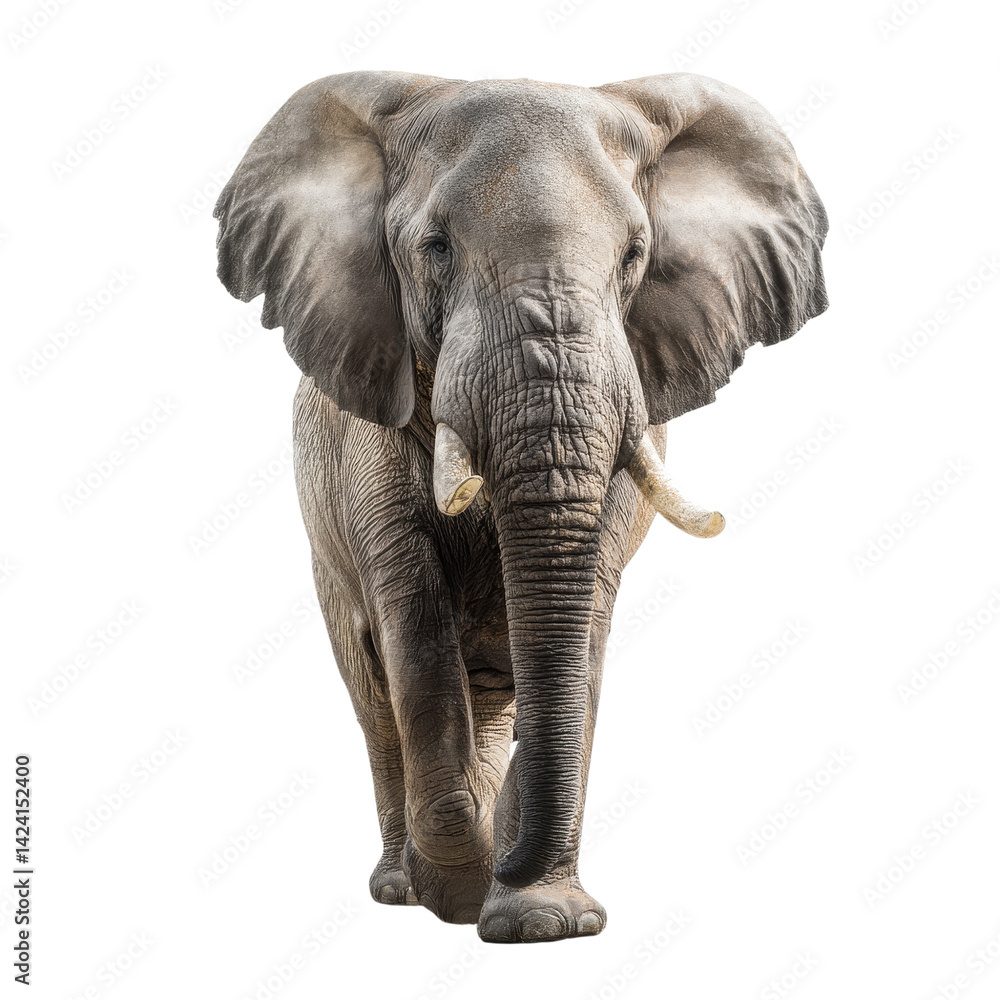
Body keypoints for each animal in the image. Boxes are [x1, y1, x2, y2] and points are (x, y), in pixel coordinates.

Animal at [213, 70, 828, 943]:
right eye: (436, 249)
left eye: (635, 255)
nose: (500, 873)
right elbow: (414, 625)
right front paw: (463, 892)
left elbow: (584, 624)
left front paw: (542, 919)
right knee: (373, 692)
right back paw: (402, 886)